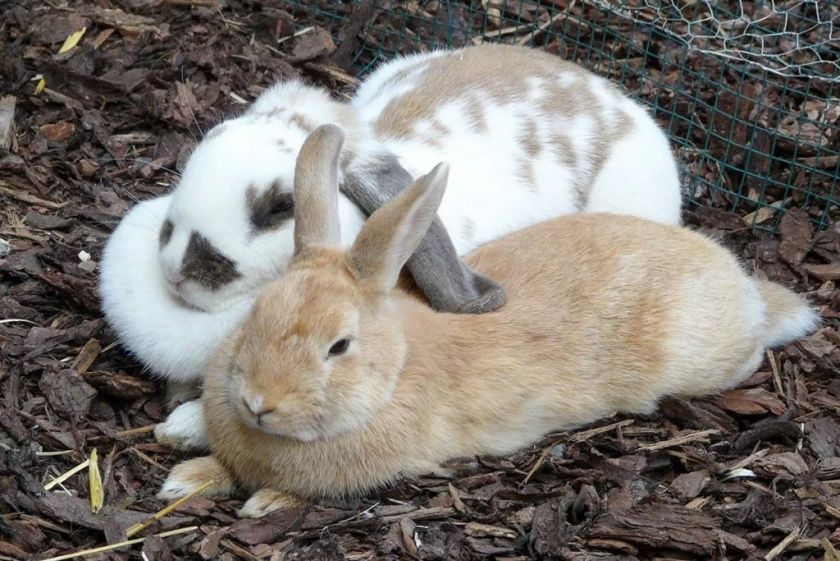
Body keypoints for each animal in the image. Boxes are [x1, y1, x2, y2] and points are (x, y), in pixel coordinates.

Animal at [159, 123, 820, 516]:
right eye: (256, 315)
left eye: (339, 347)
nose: (259, 403)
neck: (396, 370)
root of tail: (743, 289)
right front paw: (184, 469)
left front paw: (261, 503)